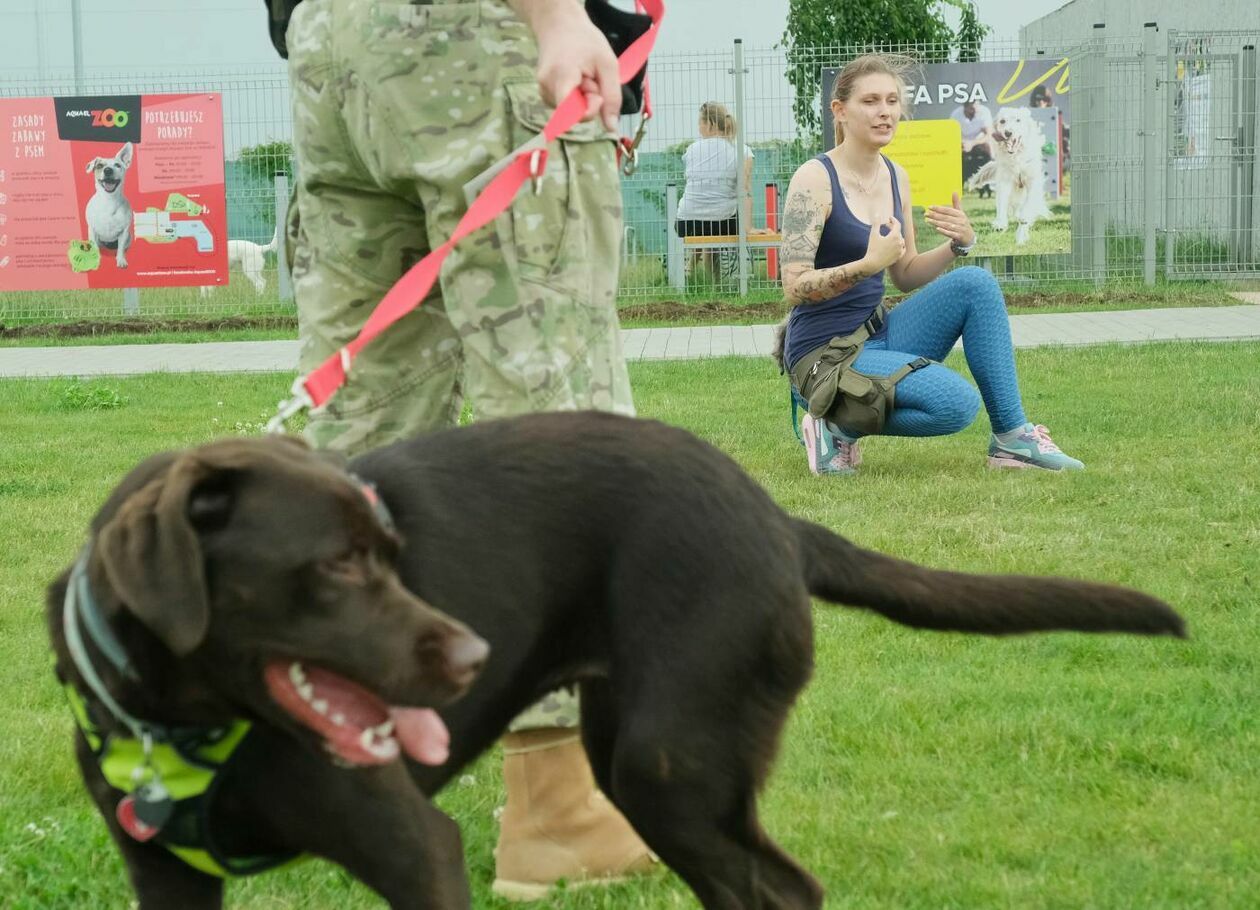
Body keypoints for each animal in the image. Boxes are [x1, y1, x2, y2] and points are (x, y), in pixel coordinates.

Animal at [46, 410, 1179, 907]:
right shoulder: (165, 879)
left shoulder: (416, 851)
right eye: (335, 563)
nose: (474, 652)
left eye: (391, 554)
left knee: (784, 891)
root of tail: (779, 521)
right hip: (648, 755)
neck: (185, 725)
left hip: (667, 762)